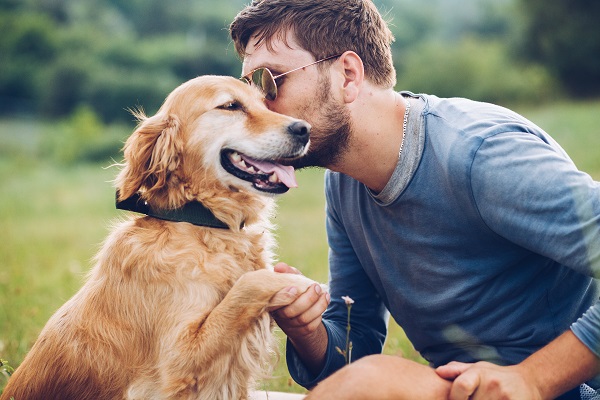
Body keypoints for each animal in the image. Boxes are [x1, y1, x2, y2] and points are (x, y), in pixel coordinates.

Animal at [1, 76, 318, 400]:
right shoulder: (178, 360)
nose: (304, 129)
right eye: (231, 105)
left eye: (265, 103)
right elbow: (248, 285)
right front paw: (302, 283)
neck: (199, 222)